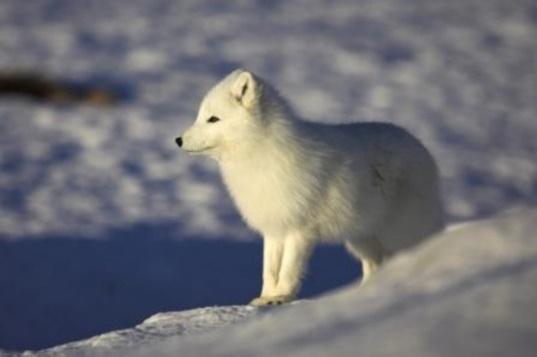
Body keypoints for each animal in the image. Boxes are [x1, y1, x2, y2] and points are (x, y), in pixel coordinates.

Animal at [176, 70, 444, 306]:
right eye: (200, 115)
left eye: (213, 118)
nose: (178, 140)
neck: (262, 154)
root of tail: (422, 147)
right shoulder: (274, 227)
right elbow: (269, 270)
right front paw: (265, 298)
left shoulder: (301, 229)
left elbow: (288, 270)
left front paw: (281, 297)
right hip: (362, 237)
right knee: (374, 265)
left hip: (401, 231)